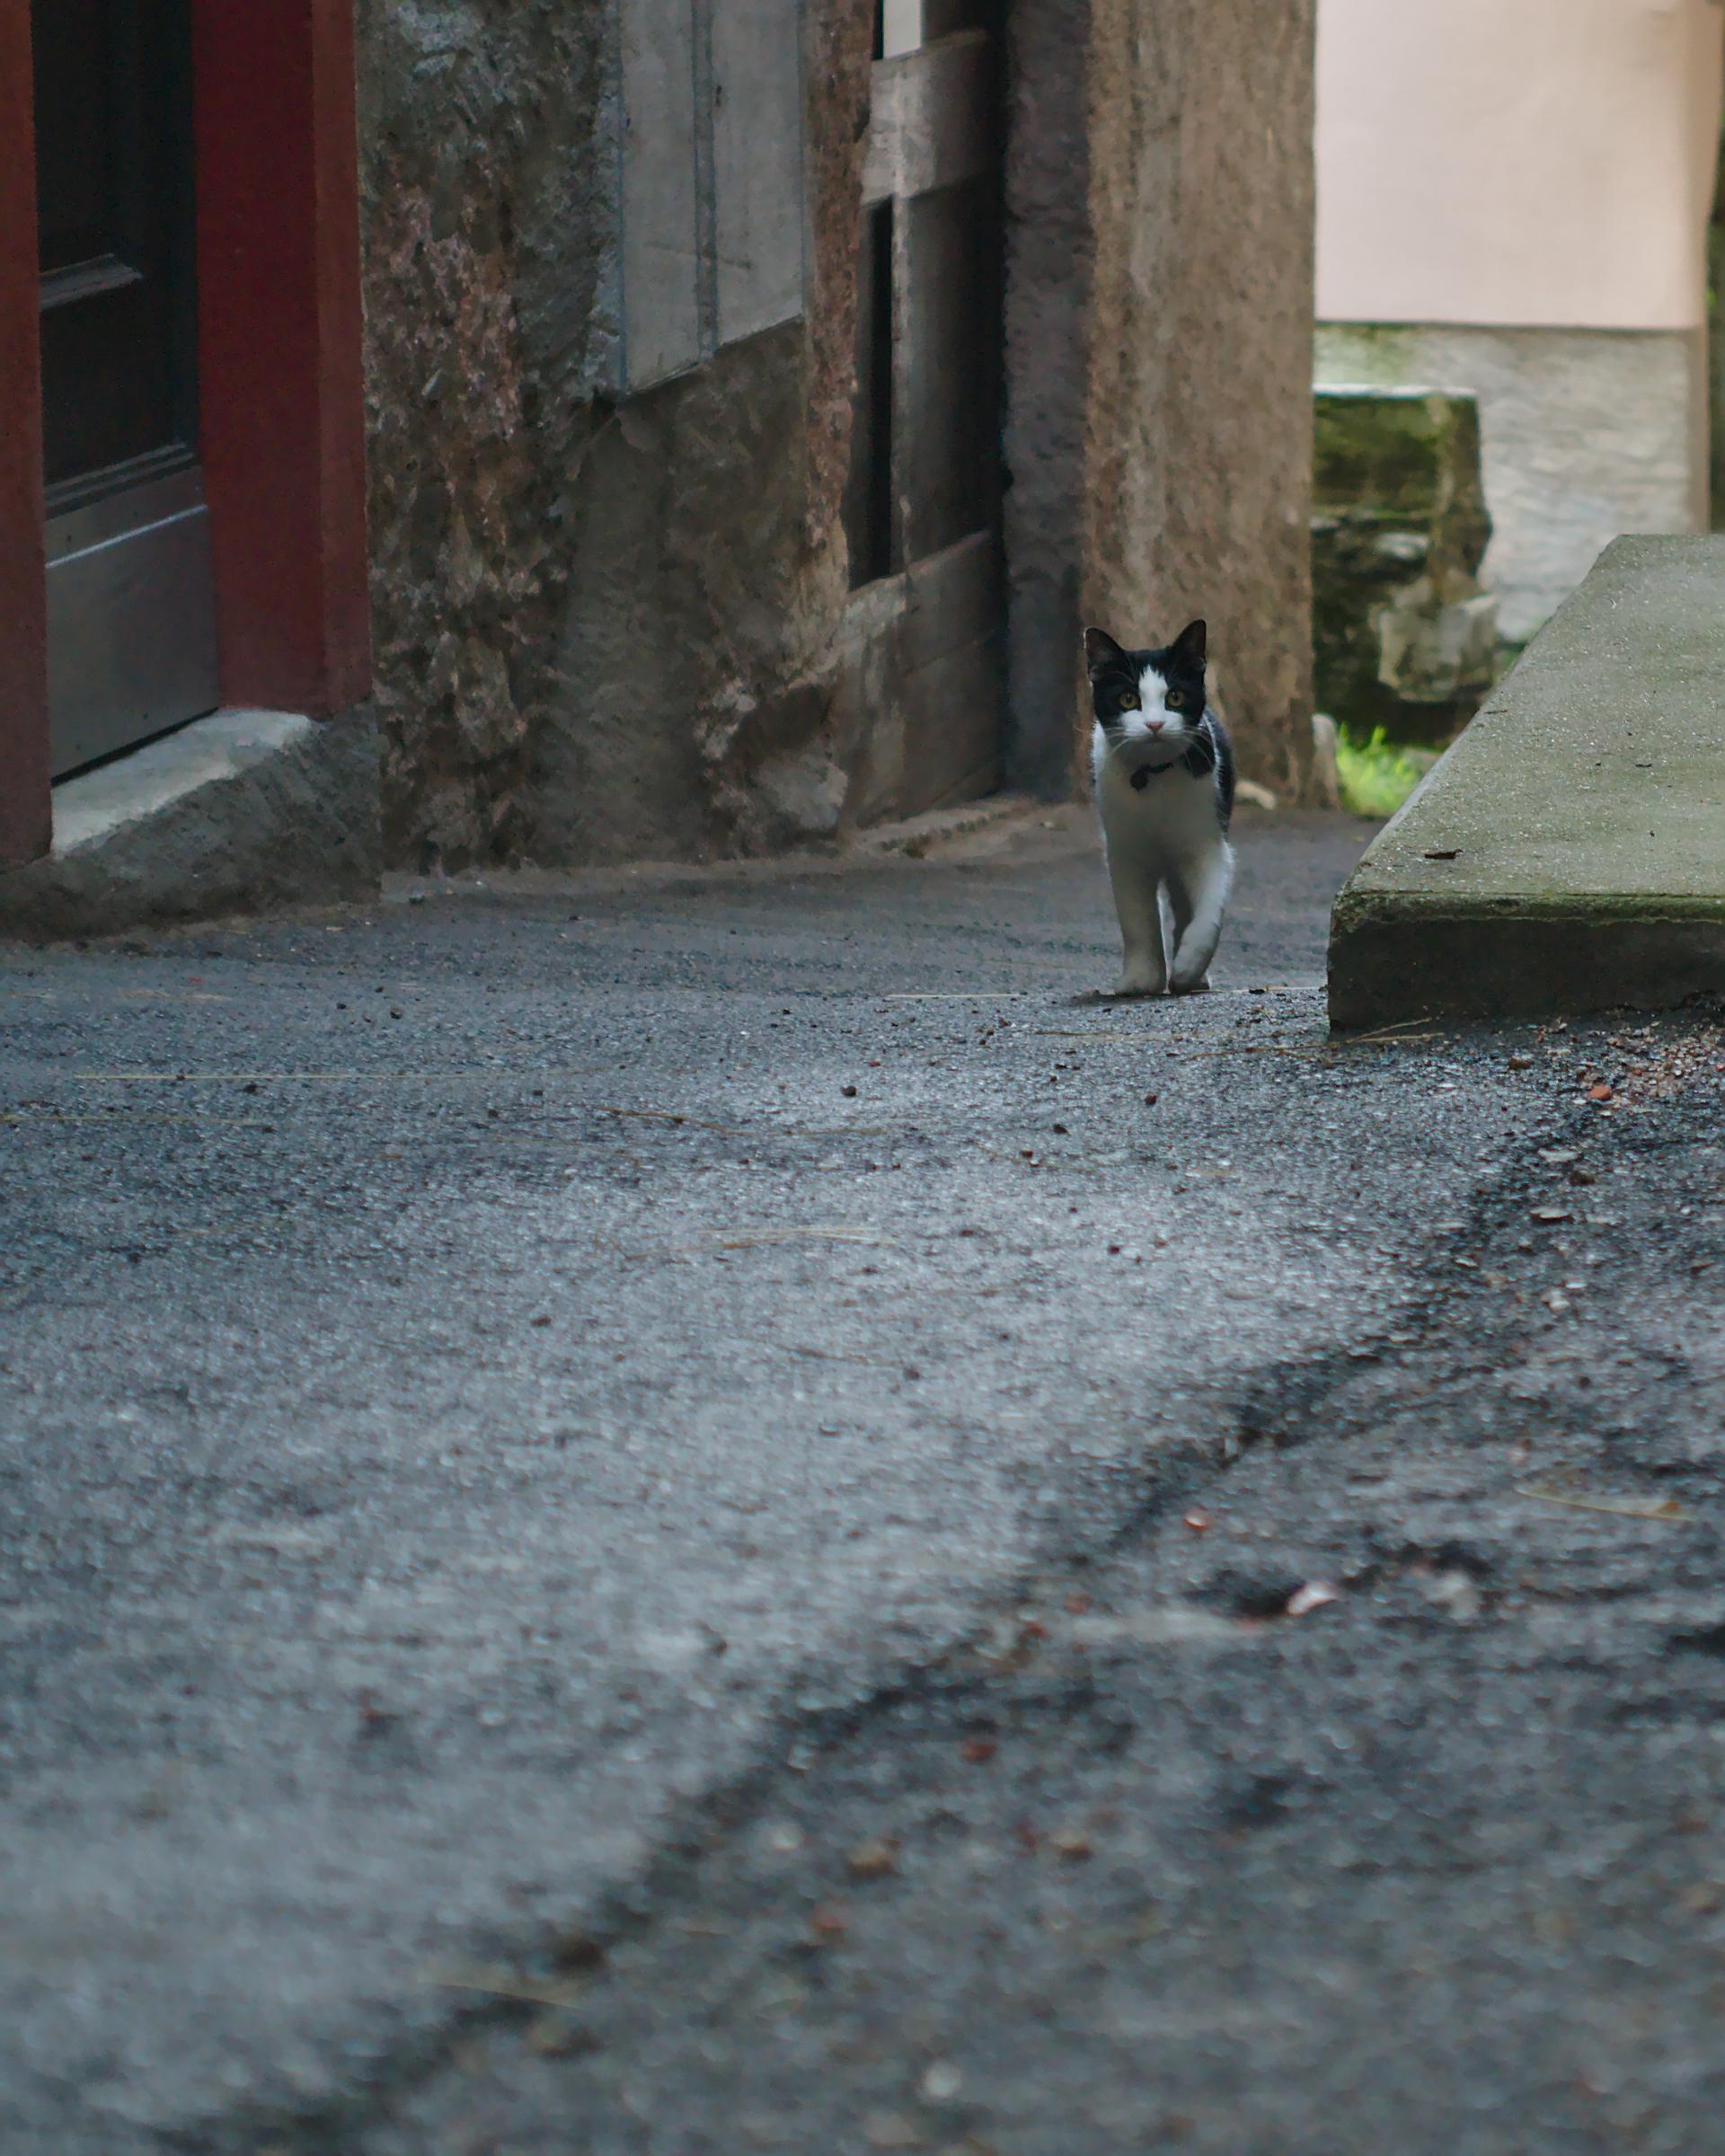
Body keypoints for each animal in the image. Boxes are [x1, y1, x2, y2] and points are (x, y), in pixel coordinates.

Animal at [1083, 618, 1236, 997]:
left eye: (1175, 697)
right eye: (1128, 699)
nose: (1154, 724)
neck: (1153, 779)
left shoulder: (1207, 842)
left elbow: (1209, 911)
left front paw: (1188, 966)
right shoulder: (1124, 854)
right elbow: (1137, 920)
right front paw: (1141, 978)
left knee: (1184, 905)